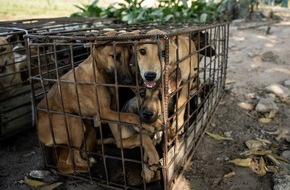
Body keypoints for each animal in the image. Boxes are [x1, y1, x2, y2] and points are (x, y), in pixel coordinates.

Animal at [36, 30, 161, 174]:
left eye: (130, 56)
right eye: (115, 56)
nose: (130, 82)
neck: (100, 73)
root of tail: (40, 135)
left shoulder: (113, 112)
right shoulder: (104, 112)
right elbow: (131, 116)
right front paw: (152, 124)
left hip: (89, 130)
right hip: (74, 121)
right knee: (73, 159)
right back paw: (91, 166)